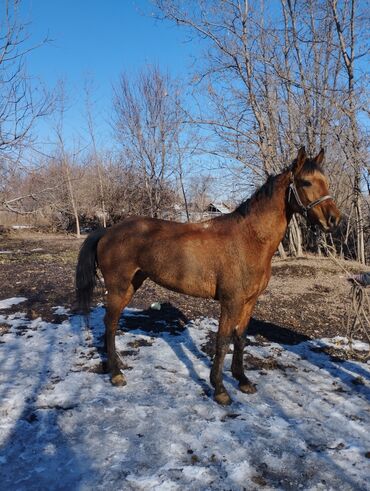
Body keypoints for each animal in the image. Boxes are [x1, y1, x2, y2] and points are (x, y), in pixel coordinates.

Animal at [75, 148, 342, 406]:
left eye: (326, 181)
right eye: (306, 182)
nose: (334, 219)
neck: (249, 239)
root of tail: (107, 231)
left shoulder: (249, 302)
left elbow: (240, 338)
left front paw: (242, 380)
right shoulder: (231, 302)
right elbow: (222, 341)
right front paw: (220, 390)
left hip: (132, 285)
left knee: (112, 324)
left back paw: (116, 364)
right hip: (118, 288)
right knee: (110, 324)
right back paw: (116, 374)